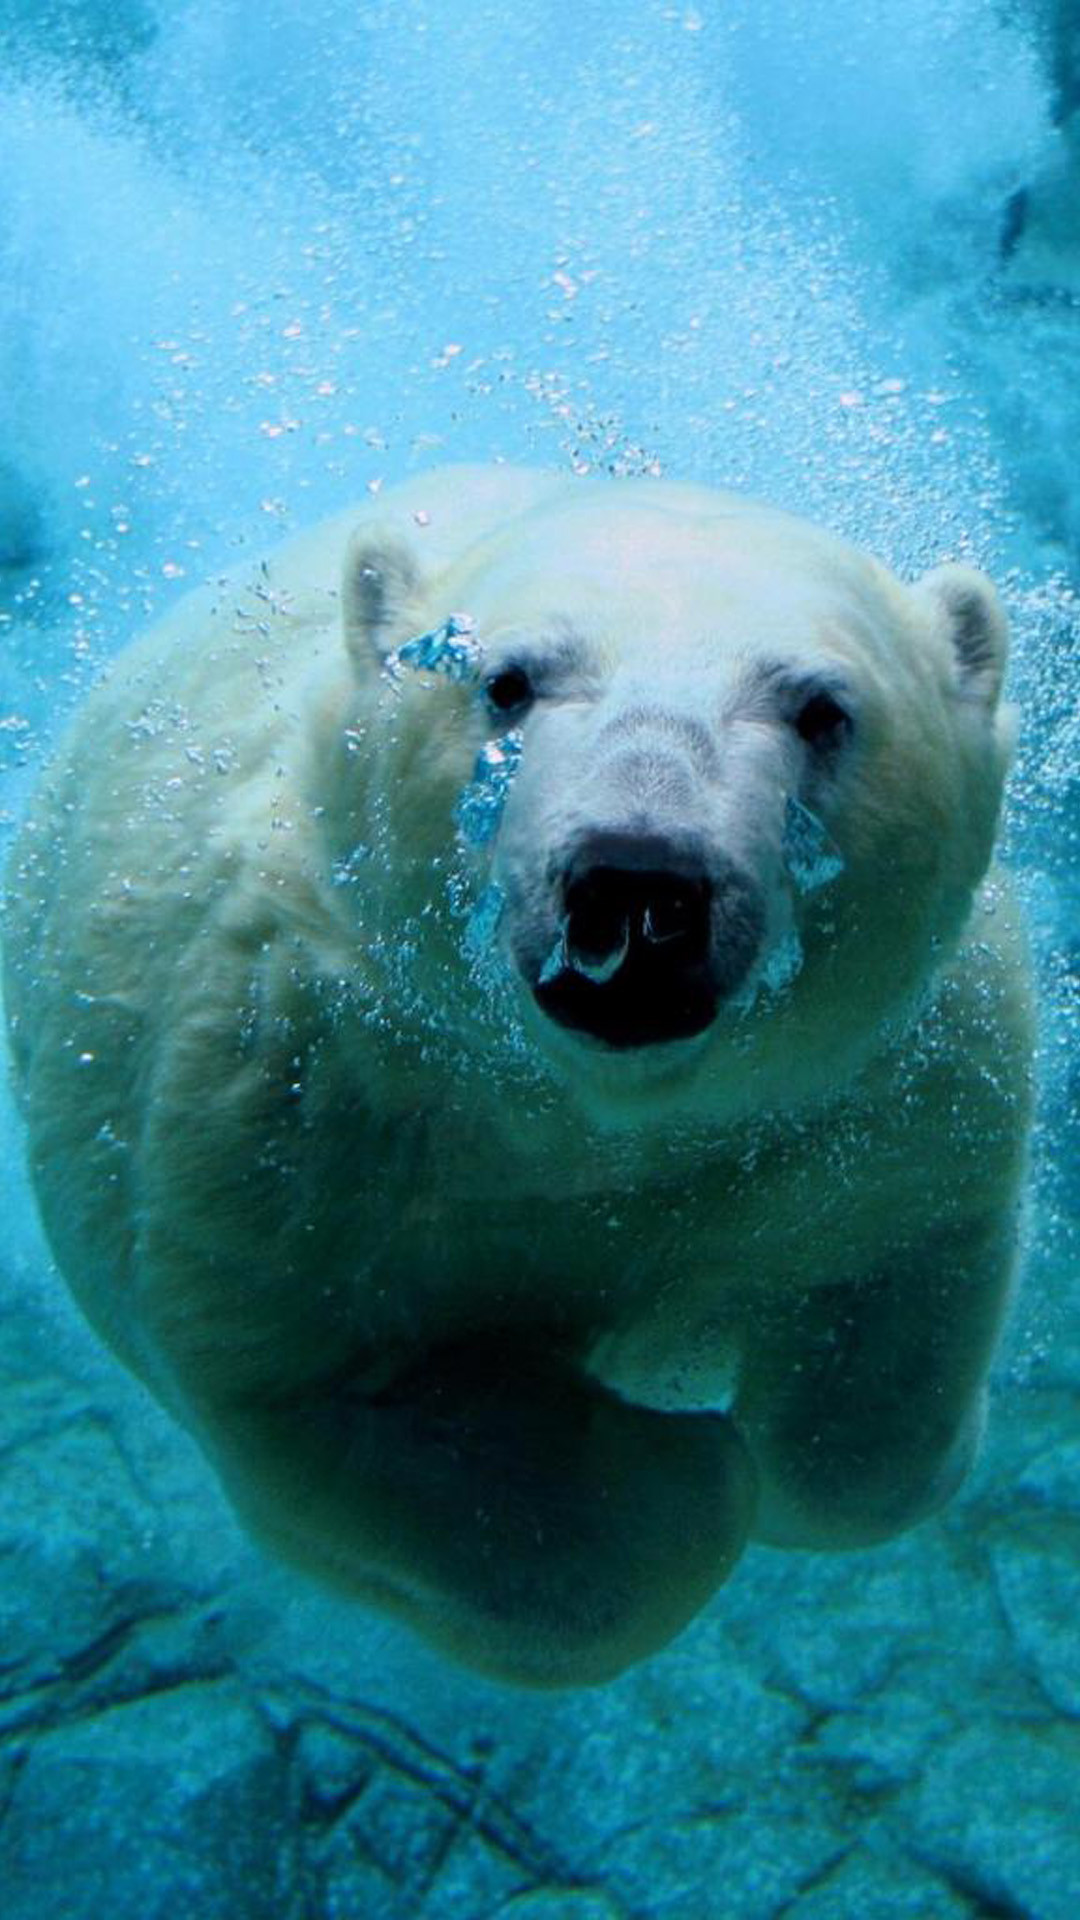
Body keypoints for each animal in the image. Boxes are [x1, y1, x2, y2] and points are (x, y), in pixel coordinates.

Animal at [2, 466, 1033, 1688]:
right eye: (506, 681)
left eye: (823, 708)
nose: (639, 881)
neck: (590, 1116)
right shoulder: (291, 1108)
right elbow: (330, 1396)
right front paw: (679, 1469)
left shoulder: (882, 1091)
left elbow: (887, 1317)